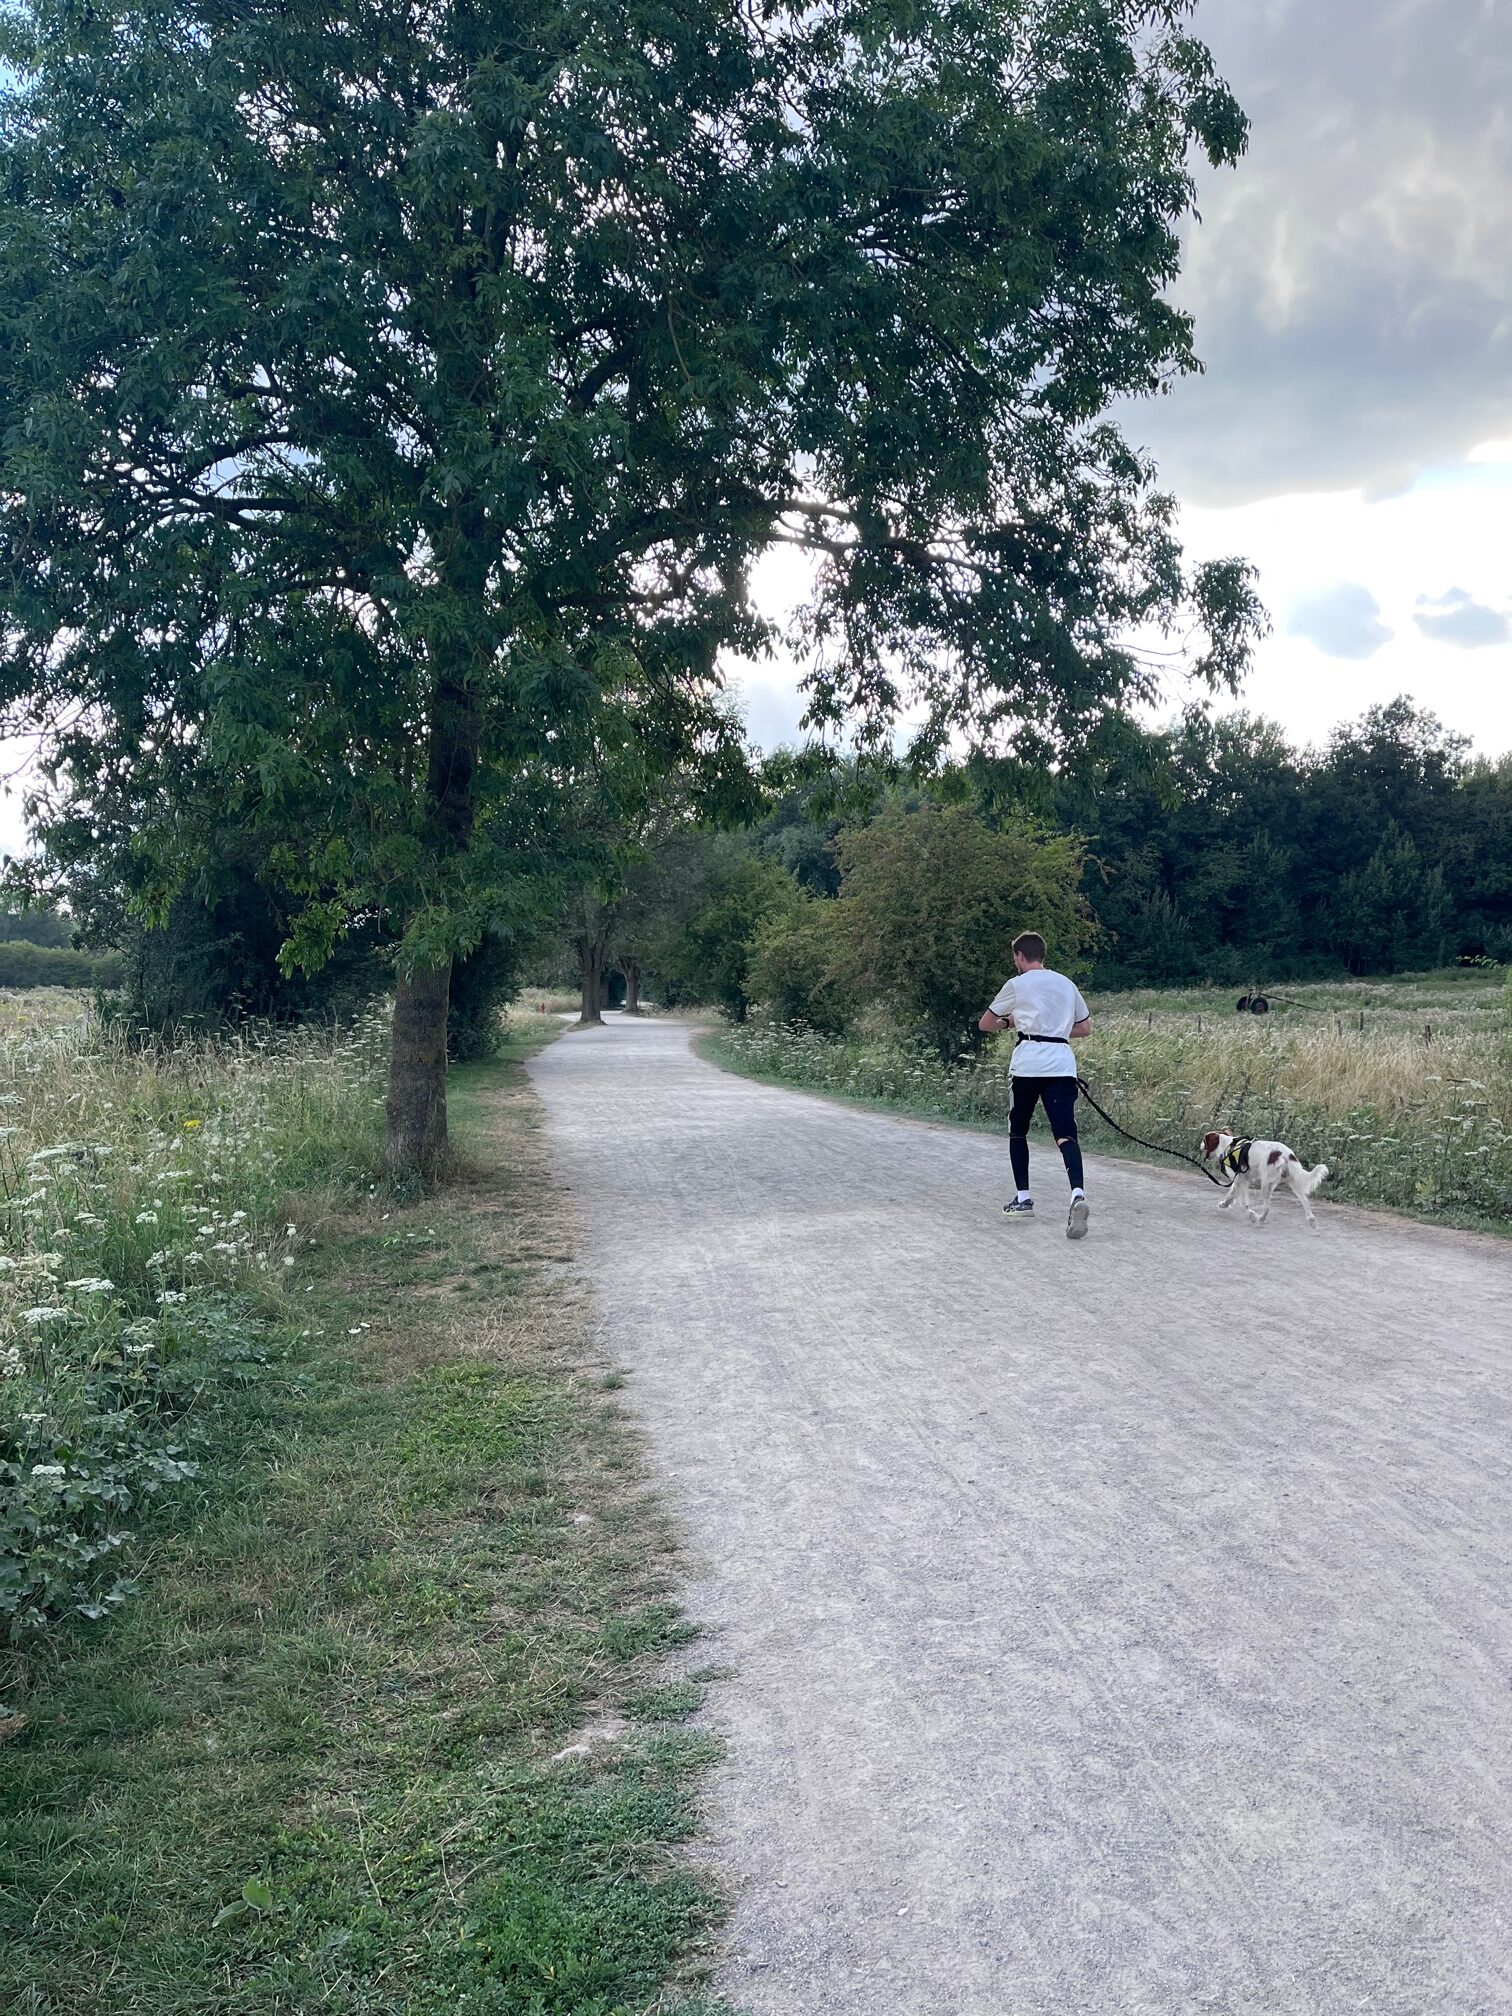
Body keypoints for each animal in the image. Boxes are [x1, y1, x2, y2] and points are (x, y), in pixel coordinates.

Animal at [1201, 1137, 1330, 1225]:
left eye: (1204, 1140)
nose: (1200, 1145)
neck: (1227, 1146)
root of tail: (1286, 1154)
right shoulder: (1242, 1180)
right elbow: (1233, 1195)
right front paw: (1225, 1204)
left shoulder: (1240, 1179)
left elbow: (1242, 1200)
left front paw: (1251, 1214)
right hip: (1292, 1181)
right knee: (1305, 1201)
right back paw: (1312, 1220)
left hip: (1266, 1184)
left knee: (1267, 1206)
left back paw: (1261, 1219)